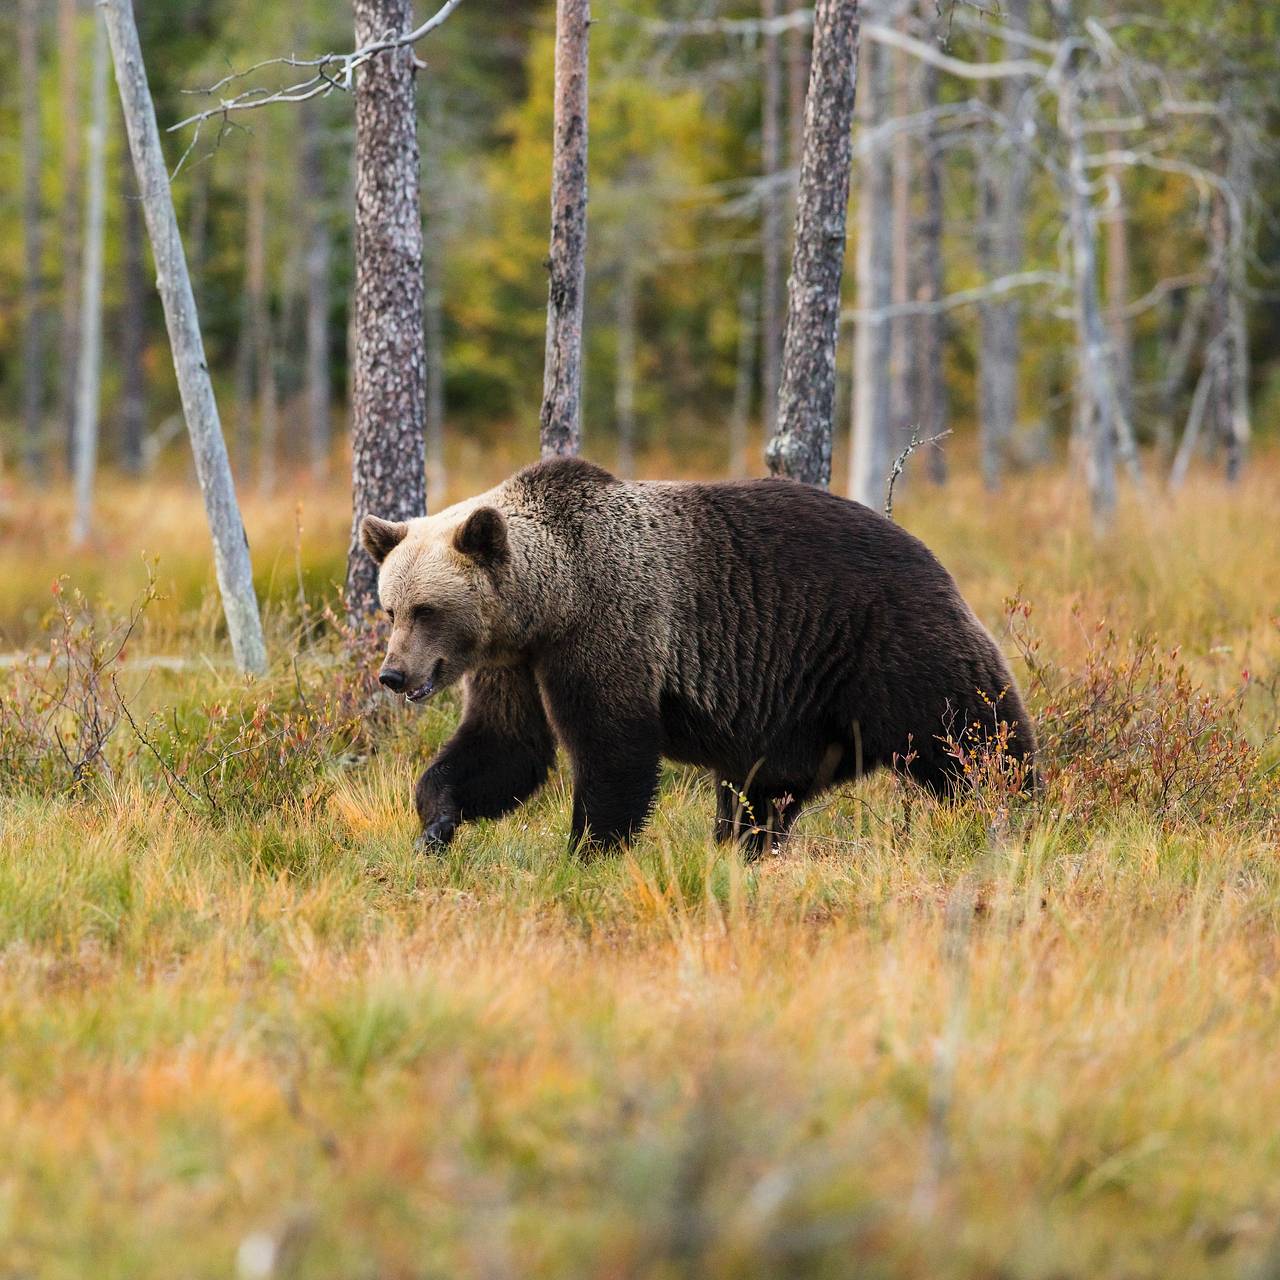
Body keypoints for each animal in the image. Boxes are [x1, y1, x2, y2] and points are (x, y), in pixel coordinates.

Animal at [358, 455, 1029, 855]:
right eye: (391, 608)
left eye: (427, 610)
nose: (394, 674)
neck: (550, 601)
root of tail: (931, 555)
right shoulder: (513, 663)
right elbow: (503, 747)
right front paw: (436, 823)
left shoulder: (610, 628)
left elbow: (613, 749)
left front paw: (587, 849)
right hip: (796, 711)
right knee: (761, 792)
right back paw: (744, 846)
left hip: (886, 644)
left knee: (971, 735)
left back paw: (1016, 807)